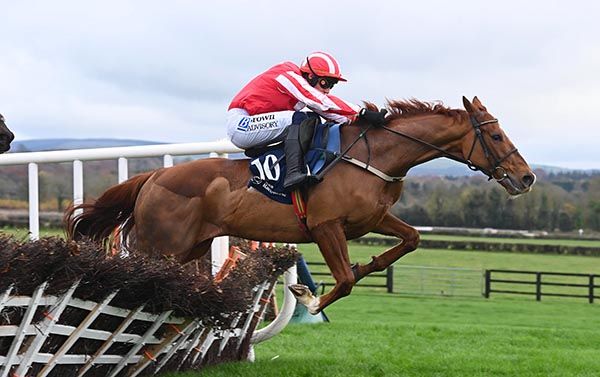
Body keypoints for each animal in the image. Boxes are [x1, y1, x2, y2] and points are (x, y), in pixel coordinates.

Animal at [65, 97, 536, 312]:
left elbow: (410, 241)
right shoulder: (326, 226)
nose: (526, 177)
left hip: (188, 248)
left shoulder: (371, 219)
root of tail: (152, 177)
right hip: (161, 246)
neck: (376, 157)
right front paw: (308, 299)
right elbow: (343, 281)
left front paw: (368, 265)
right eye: (496, 135)